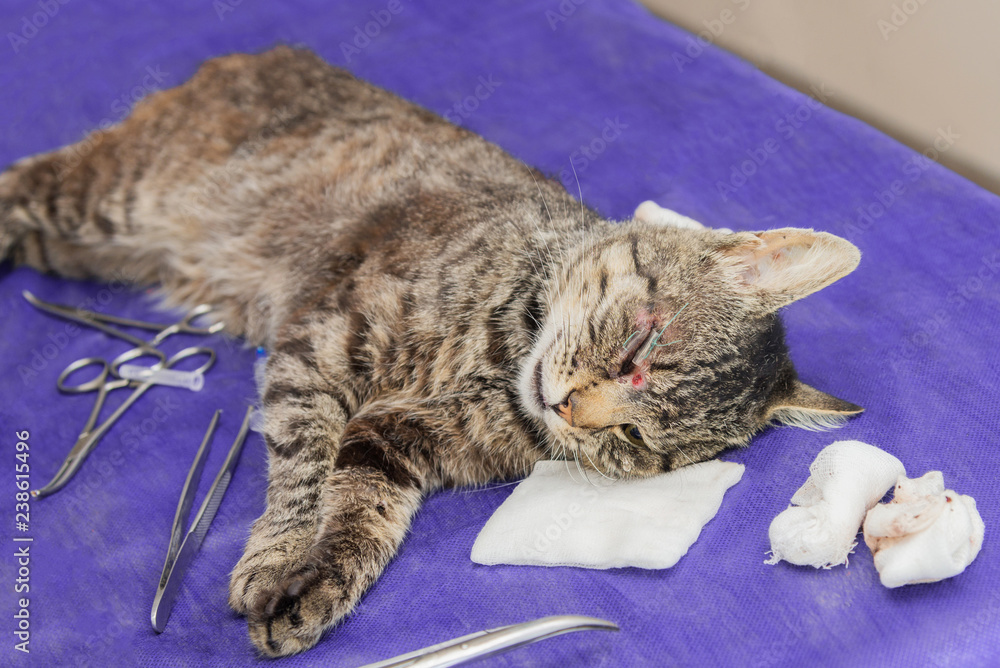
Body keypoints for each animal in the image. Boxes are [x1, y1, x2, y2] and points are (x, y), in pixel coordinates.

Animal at [0, 48, 860, 656]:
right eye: (637, 344)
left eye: (638, 440)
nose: (573, 408)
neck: (501, 350)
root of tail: (257, 54)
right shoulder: (315, 349)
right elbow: (304, 472)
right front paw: (281, 555)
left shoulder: (404, 436)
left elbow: (361, 510)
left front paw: (314, 587)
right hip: (107, 196)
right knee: (15, 184)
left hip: (97, 249)